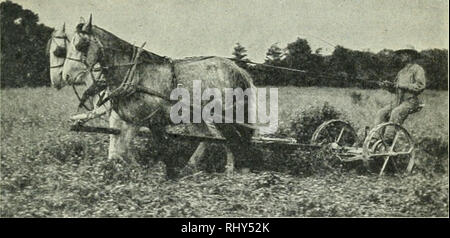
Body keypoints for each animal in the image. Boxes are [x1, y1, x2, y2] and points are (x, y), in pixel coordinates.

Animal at [62, 15, 256, 178]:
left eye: (80, 45)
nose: (66, 76)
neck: (135, 75)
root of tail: (238, 69)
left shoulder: (151, 121)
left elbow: (158, 148)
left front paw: (167, 173)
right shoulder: (131, 120)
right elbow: (120, 149)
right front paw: (126, 169)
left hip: (225, 116)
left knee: (233, 139)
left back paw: (234, 170)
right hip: (199, 117)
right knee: (211, 138)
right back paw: (197, 167)